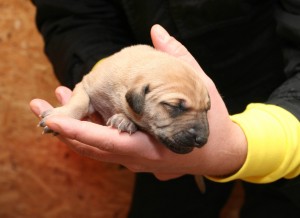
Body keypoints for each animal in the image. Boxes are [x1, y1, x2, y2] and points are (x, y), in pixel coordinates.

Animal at [38, 44, 210, 153]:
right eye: (174, 106)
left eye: (207, 109)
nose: (202, 140)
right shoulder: (87, 84)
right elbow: (80, 102)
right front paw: (60, 115)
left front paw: (124, 120)